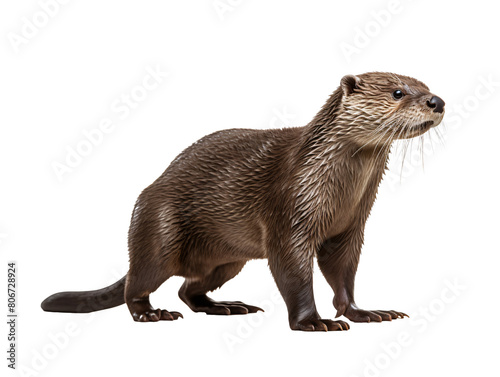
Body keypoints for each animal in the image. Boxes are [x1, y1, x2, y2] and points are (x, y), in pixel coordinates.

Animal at [40, 72, 446, 330]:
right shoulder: (289, 212)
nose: (436, 101)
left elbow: (343, 273)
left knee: (189, 288)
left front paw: (365, 313)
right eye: (397, 92)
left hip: (228, 260)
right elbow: (294, 273)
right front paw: (312, 321)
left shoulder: (350, 227)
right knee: (137, 284)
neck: (333, 185)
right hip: (159, 229)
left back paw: (226, 306)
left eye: (426, 85)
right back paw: (152, 314)